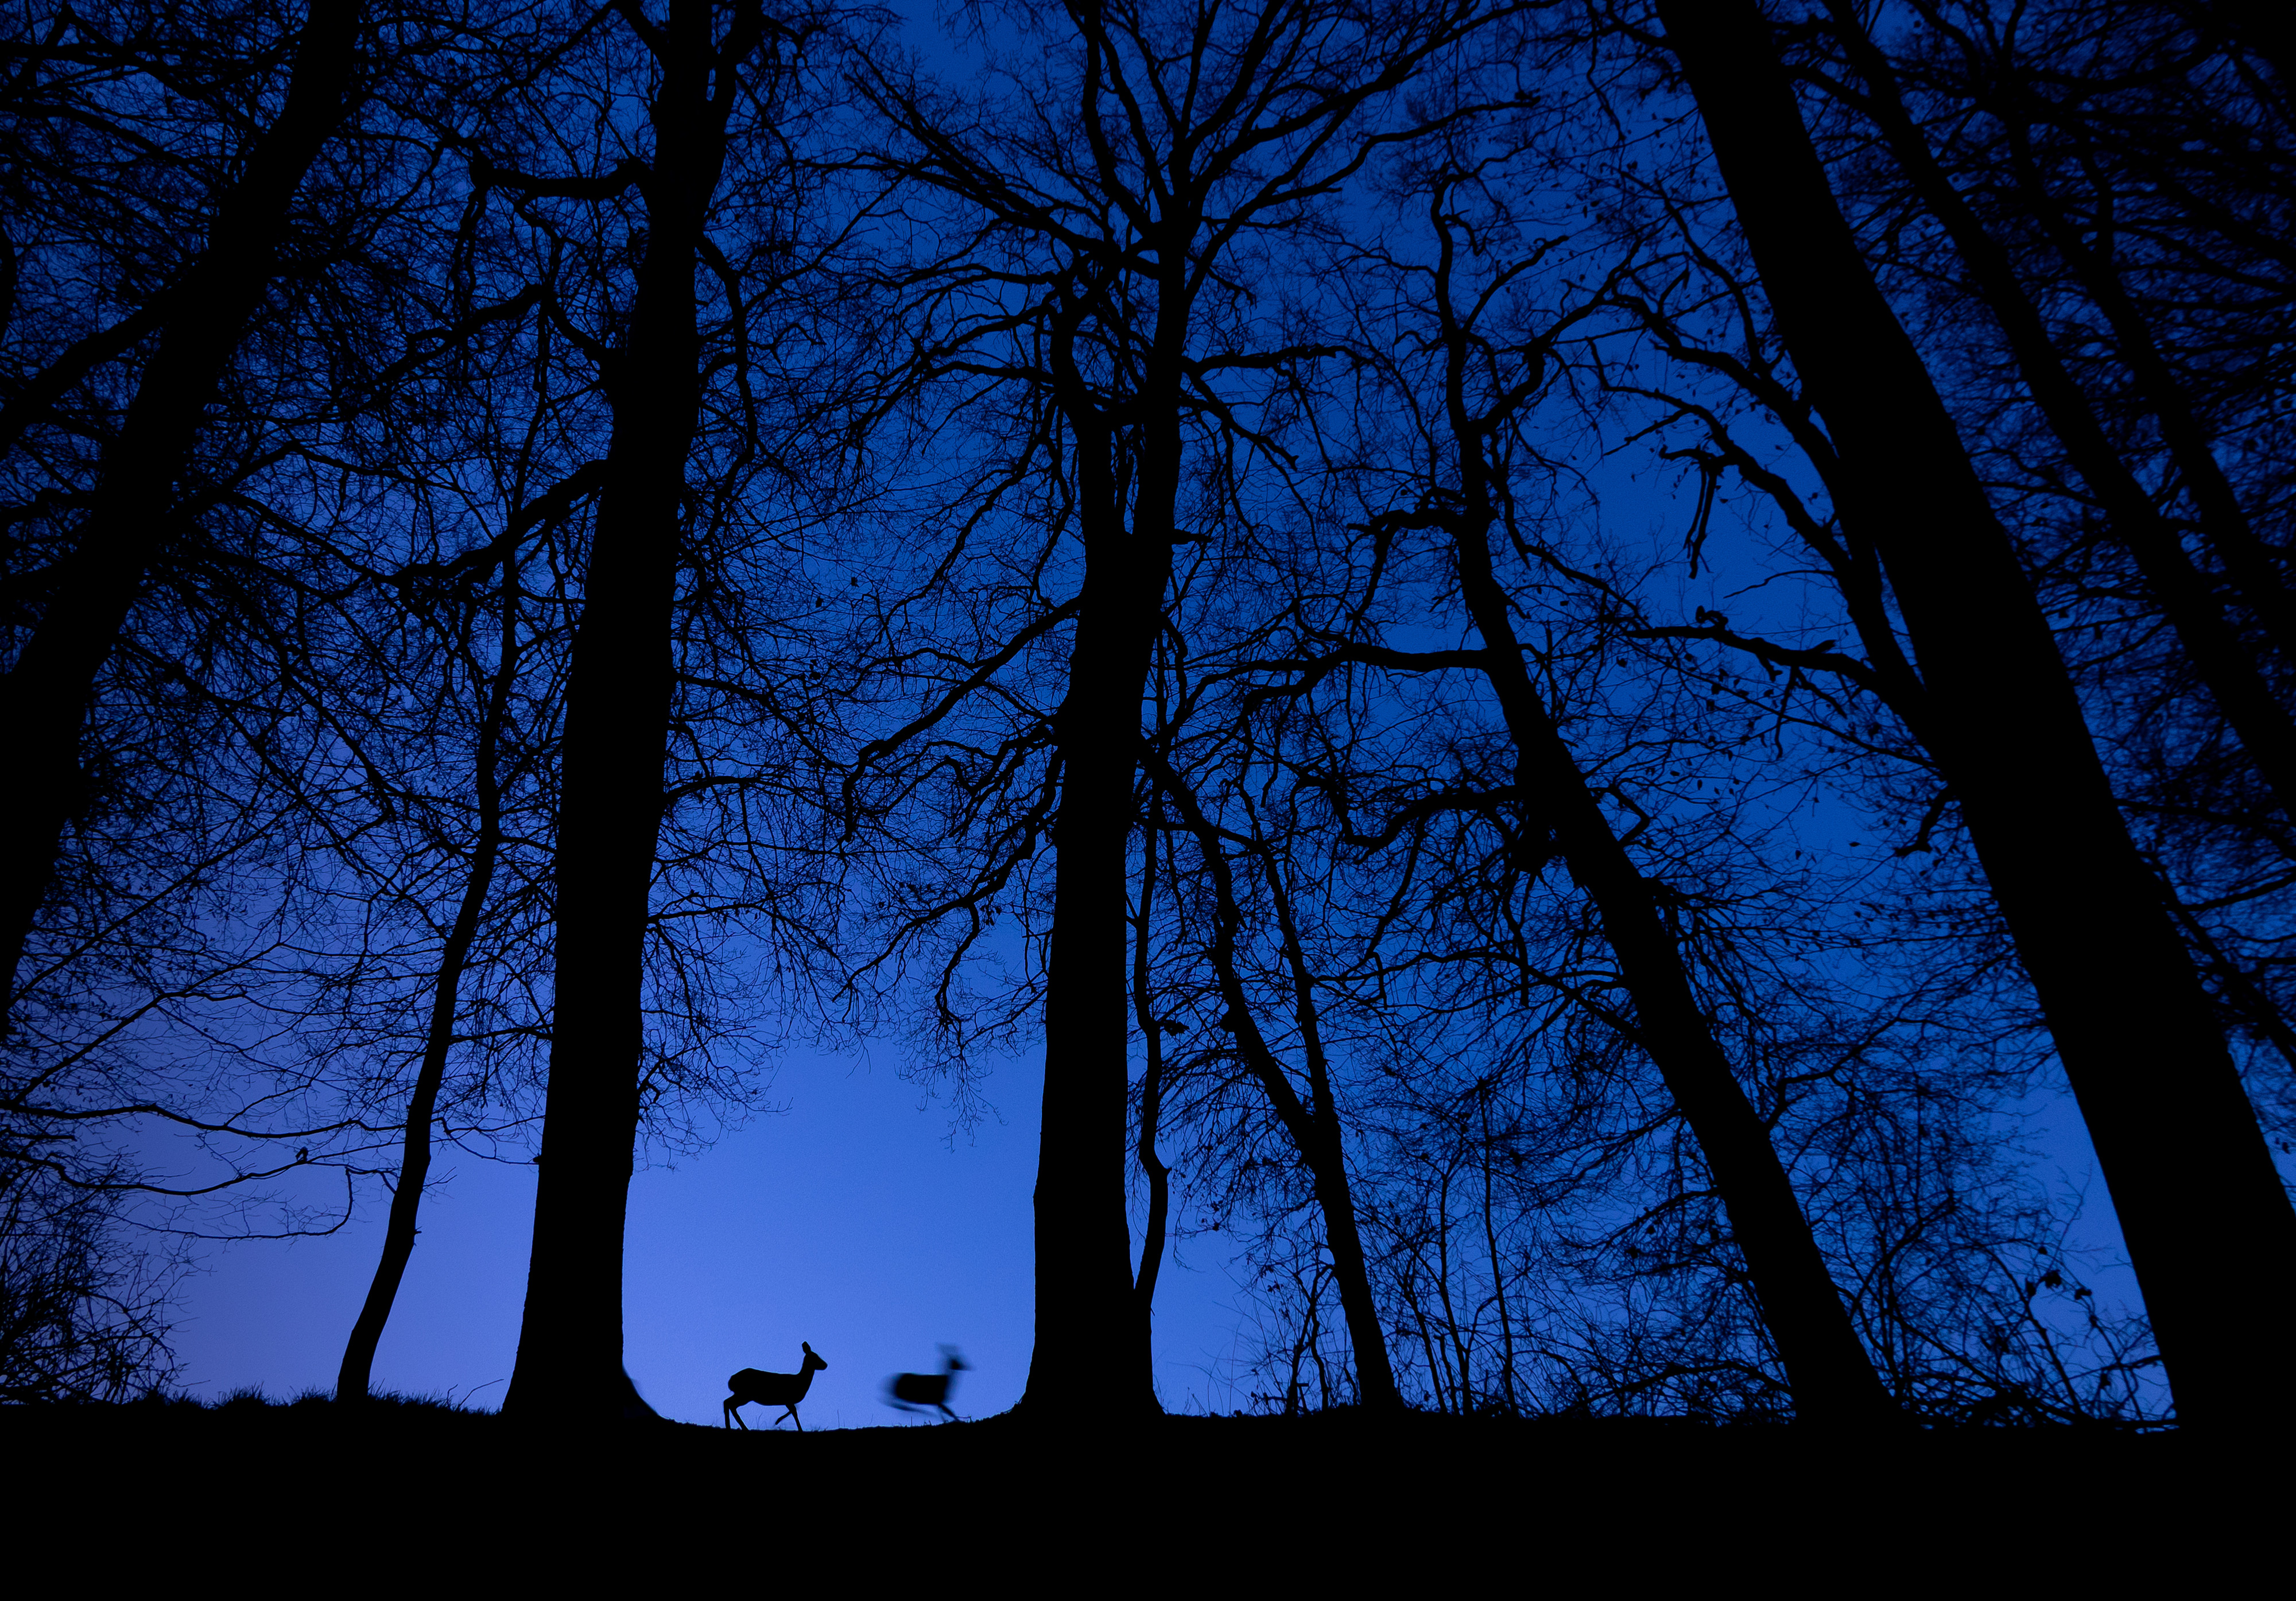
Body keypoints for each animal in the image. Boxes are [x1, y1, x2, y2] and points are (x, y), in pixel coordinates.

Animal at [721, 1341, 831, 1433]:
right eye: (815, 1357)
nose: (826, 1365)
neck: (800, 1382)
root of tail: (730, 1381)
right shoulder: (788, 1399)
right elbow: (794, 1412)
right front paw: (781, 1422)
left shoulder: (788, 1401)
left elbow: (794, 1411)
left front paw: (779, 1421)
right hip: (745, 1394)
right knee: (730, 1404)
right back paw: (740, 1428)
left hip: (742, 1394)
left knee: (728, 1403)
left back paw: (732, 1427)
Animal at [868, 1341, 960, 1414]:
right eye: (955, 1361)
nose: (963, 1366)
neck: (946, 1381)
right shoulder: (937, 1401)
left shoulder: (937, 1402)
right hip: (902, 1395)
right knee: (897, 1405)